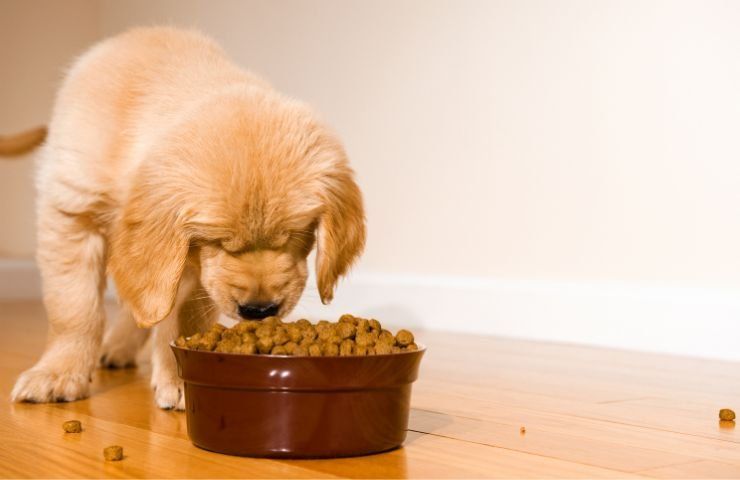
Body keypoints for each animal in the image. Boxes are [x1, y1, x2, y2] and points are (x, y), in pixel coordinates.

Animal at [5, 26, 364, 408]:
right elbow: (74, 307)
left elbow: (181, 315)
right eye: (220, 242)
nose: (259, 310)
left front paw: (179, 378)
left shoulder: (190, 263)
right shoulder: (72, 211)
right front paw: (58, 373)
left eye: (297, 235)